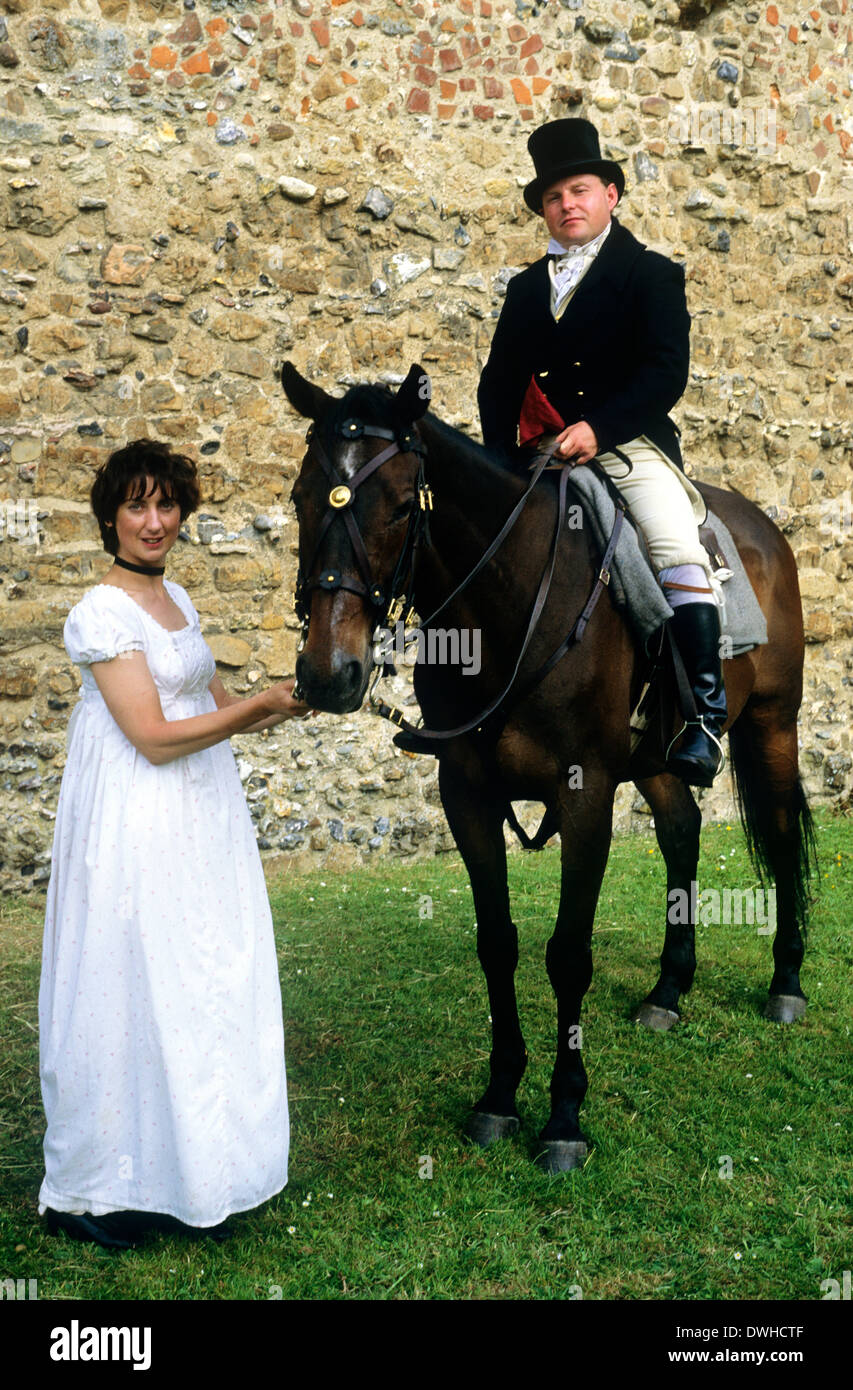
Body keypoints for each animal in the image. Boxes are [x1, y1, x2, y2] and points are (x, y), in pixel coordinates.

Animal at [280, 361, 816, 1173]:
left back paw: (785, 981)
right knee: (682, 833)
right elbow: (496, 943)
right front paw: (500, 1096)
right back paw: (668, 990)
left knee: (781, 835)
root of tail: (762, 529)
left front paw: (564, 1117)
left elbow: (567, 955)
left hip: (771, 724)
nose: (326, 673)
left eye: (404, 505)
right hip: (656, 757)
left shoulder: (584, 798)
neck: (511, 603)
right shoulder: (466, 797)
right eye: (300, 496)